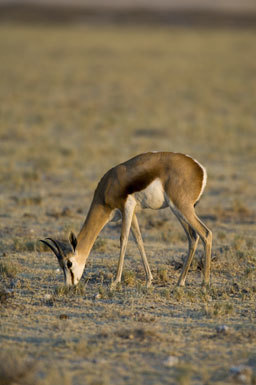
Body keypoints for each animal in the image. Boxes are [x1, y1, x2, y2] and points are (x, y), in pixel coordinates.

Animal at [41, 152, 212, 286]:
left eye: (69, 263)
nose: (69, 285)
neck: (108, 186)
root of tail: (200, 168)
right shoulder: (132, 212)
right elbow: (139, 240)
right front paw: (149, 280)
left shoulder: (127, 207)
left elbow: (123, 239)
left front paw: (116, 281)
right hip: (178, 211)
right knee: (193, 236)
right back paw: (180, 282)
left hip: (182, 208)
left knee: (206, 233)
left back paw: (204, 284)